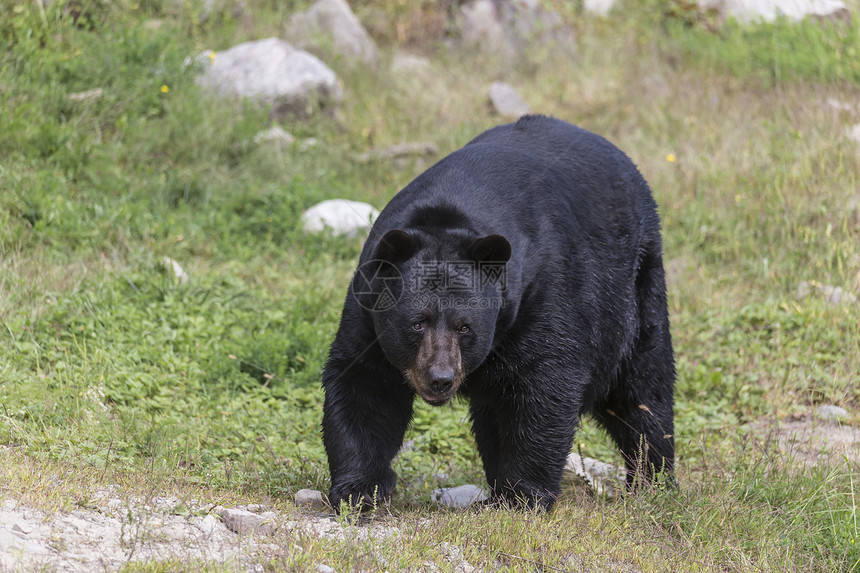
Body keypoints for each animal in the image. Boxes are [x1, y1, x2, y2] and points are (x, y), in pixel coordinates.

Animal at [320, 115, 672, 510]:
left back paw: (653, 480)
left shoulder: (543, 295)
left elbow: (546, 385)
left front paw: (524, 495)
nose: (440, 378)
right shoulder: (367, 309)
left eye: (464, 326)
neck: (450, 212)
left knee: (642, 390)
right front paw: (358, 489)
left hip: (634, 289)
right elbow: (366, 387)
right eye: (417, 323)